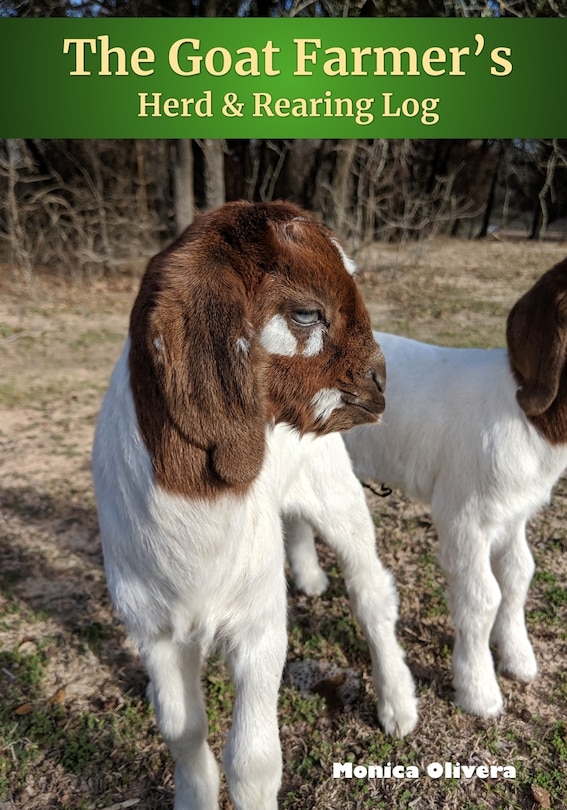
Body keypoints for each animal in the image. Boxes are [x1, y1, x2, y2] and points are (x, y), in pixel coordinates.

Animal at [92, 201, 417, 810]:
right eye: (308, 312)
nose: (381, 381)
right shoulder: (152, 627)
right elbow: (181, 730)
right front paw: (193, 796)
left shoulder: (259, 623)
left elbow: (254, 761)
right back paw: (310, 577)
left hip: (336, 490)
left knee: (370, 593)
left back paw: (398, 704)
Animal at [287, 259, 567, 720]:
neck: (524, 411)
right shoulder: (466, 516)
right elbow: (481, 597)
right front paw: (479, 692)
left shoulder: (512, 512)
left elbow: (518, 574)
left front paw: (519, 658)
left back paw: (310, 578)